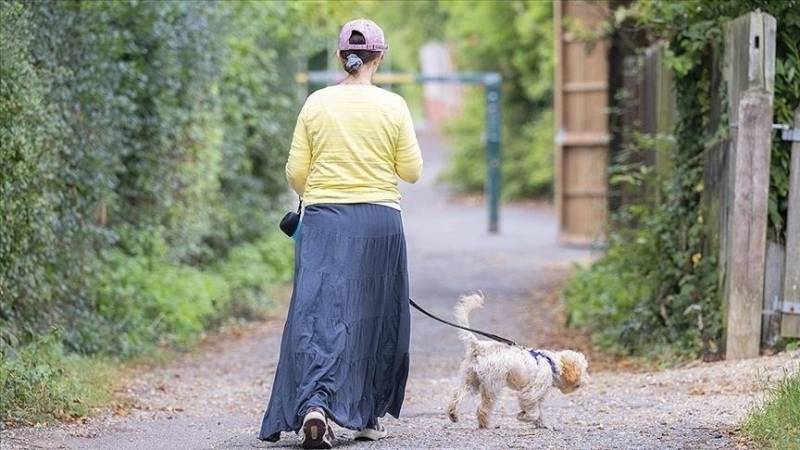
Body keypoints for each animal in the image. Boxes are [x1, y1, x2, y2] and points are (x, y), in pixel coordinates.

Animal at [444, 292, 588, 428]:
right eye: (584, 370)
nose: (587, 380)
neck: (551, 364)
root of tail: (478, 346)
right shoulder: (529, 393)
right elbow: (534, 412)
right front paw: (523, 417)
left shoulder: (537, 397)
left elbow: (539, 412)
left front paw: (542, 424)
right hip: (491, 387)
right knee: (482, 409)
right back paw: (486, 424)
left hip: (471, 382)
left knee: (457, 396)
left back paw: (453, 415)